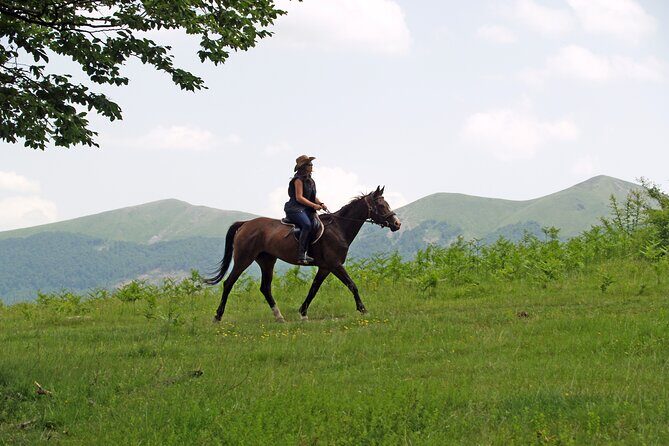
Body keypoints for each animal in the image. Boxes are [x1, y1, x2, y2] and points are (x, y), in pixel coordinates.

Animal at [205, 186, 402, 322]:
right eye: (381, 205)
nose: (397, 224)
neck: (339, 228)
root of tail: (245, 224)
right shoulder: (335, 265)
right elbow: (352, 285)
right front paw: (363, 310)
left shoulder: (325, 267)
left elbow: (314, 289)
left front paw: (303, 313)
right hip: (244, 259)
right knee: (229, 283)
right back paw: (217, 317)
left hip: (267, 261)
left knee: (265, 288)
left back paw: (279, 317)